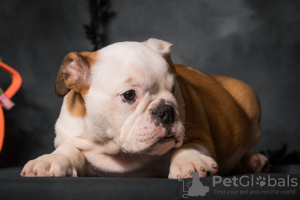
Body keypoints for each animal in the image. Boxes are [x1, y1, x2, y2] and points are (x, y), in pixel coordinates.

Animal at [20, 38, 270, 178]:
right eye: (129, 95)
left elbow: (190, 145)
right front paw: (48, 161)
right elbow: (68, 150)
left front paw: (190, 161)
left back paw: (252, 160)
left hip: (249, 101)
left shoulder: (199, 134)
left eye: (173, 90)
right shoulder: (71, 137)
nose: (166, 111)